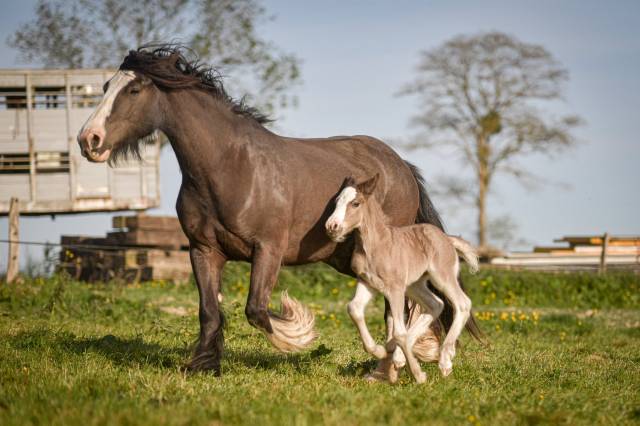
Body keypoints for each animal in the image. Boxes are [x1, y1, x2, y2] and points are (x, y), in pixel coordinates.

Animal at [325, 174, 479, 382]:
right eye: (336, 202)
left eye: (355, 203)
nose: (331, 226)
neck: (376, 245)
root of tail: (447, 238)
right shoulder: (367, 282)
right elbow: (354, 309)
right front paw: (379, 351)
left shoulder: (394, 288)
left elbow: (398, 331)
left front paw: (419, 375)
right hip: (415, 285)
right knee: (436, 304)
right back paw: (398, 354)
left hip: (442, 277)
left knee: (462, 304)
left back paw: (445, 361)